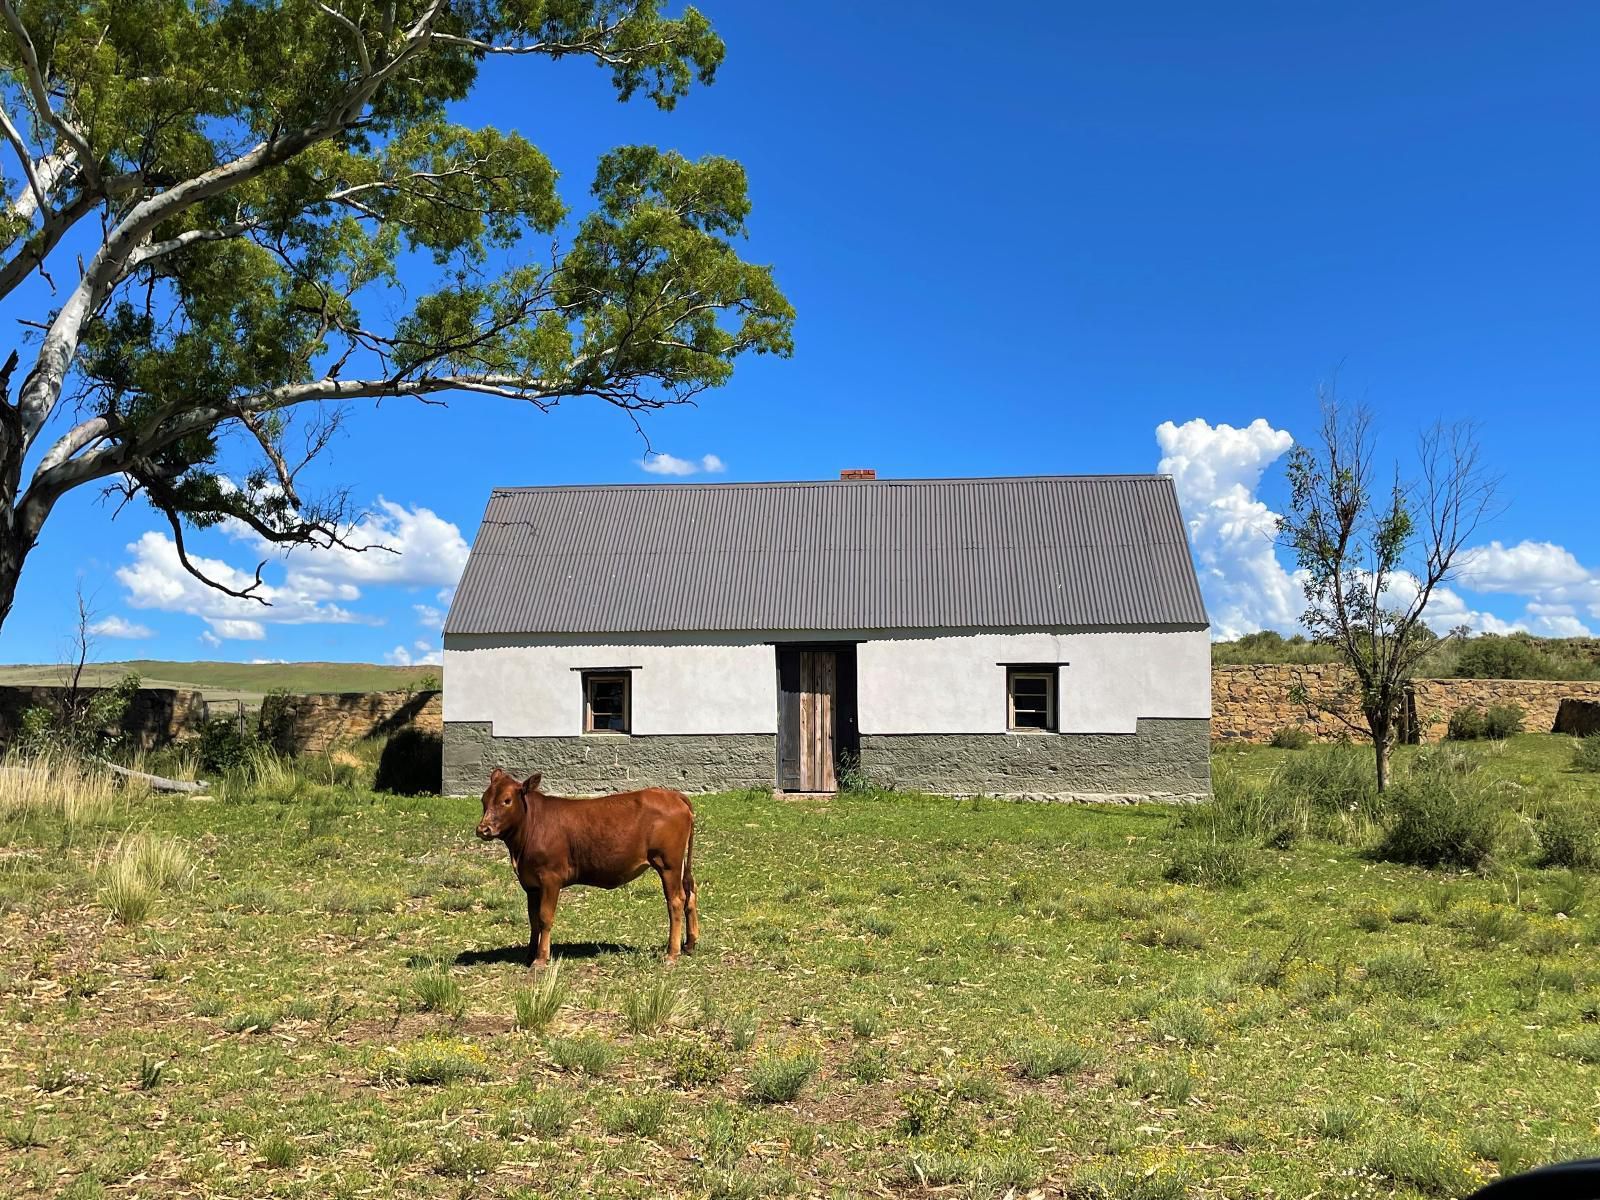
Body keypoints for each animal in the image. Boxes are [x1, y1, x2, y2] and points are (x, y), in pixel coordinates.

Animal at [473, 771, 700, 966]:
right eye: (484, 800)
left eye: (507, 800)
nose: (483, 829)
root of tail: (672, 794)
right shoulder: (531, 884)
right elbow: (533, 920)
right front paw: (530, 955)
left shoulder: (550, 878)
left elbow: (545, 918)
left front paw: (541, 959)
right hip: (679, 865)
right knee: (690, 892)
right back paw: (689, 944)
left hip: (668, 863)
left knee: (676, 900)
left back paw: (672, 953)